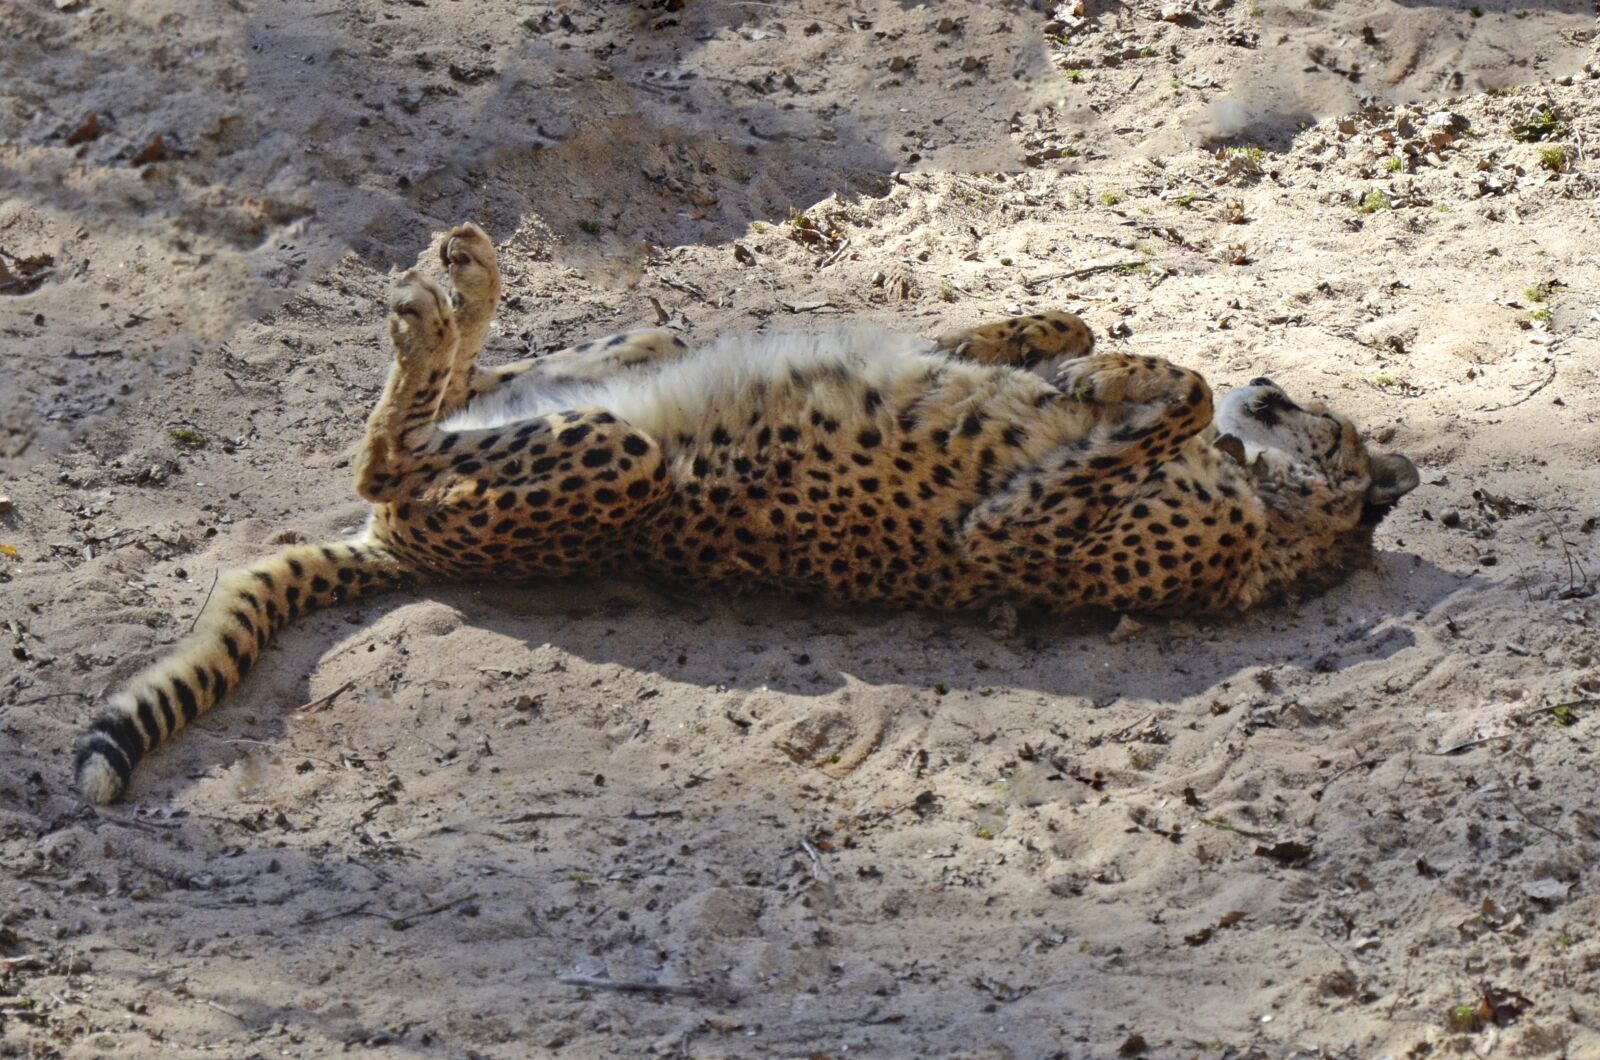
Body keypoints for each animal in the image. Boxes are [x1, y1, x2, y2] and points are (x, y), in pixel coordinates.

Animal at [74, 221, 1419, 803]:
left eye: (1310, 417)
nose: (1269, 386)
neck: (1271, 511)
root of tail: (396, 552)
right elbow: (1053, 331)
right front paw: (1065, 349)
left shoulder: (1002, 535)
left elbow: (1162, 393)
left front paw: (1120, 379)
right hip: (627, 364)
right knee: (480, 387)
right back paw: (462, 276)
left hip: (613, 461)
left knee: (386, 454)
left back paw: (429, 309)